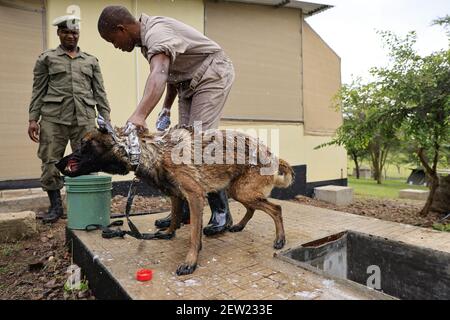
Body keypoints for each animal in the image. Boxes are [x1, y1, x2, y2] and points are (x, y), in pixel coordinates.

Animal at [56, 121, 294, 276]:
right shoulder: (176, 195)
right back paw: (239, 226)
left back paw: (280, 239)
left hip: (244, 191)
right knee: (254, 208)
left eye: (84, 144)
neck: (149, 152)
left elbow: (193, 235)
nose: (57, 164)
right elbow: (176, 217)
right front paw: (168, 233)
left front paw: (190, 262)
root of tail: (272, 153)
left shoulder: (195, 196)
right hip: (238, 190)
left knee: (276, 209)